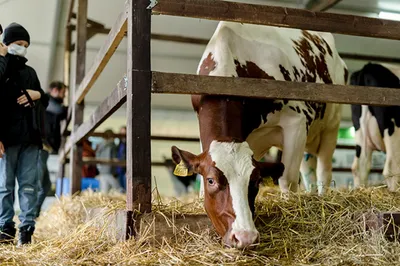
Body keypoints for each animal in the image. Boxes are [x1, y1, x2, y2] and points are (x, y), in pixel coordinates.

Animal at [171, 21, 346, 248]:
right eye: (211, 180)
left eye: (255, 181)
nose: (244, 237)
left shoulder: (296, 122)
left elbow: (288, 179)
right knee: (309, 172)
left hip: (330, 127)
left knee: (324, 172)